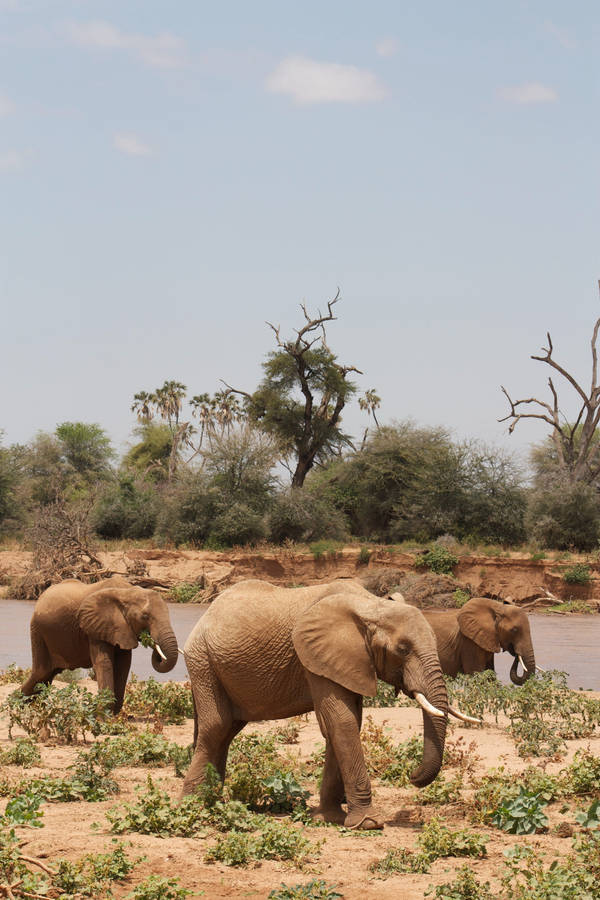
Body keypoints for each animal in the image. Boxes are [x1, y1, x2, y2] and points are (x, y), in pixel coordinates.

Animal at [21, 575, 179, 712]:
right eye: (145, 616)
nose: (152, 640)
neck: (127, 592)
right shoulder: (96, 626)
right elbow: (104, 662)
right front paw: (105, 716)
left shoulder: (122, 629)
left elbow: (124, 664)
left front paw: (113, 714)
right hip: (38, 631)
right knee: (41, 672)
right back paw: (19, 704)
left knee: (47, 676)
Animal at [182, 579, 475, 830]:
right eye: (402, 649)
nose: (412, 776)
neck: (371, 605)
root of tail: (207, 613)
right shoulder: (314, 656)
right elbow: (341, 721)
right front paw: (368, 823)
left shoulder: (347, 660)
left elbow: (348, 722)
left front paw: (330, 818)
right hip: (202, 660)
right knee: (216, 727)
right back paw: (194, 806)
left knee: (228, 730)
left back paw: (214, 800)